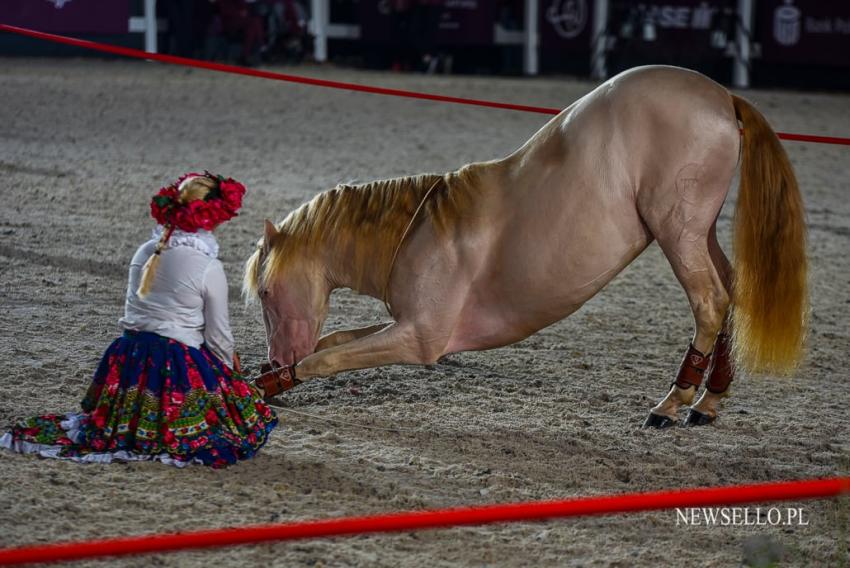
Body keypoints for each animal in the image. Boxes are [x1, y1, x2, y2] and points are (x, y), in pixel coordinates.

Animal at [242, 65, 804, 426]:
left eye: (265, 293)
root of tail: (721, 98)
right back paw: (707, 401)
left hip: (678, 232)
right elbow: (333, 341)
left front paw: (271, 383)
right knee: (731, 293)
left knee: (710, 301)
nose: (273, 358)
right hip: (697, 233)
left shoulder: (420, 338)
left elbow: (326, 358)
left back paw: (672, 402)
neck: (418, 228)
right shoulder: (405, 324)